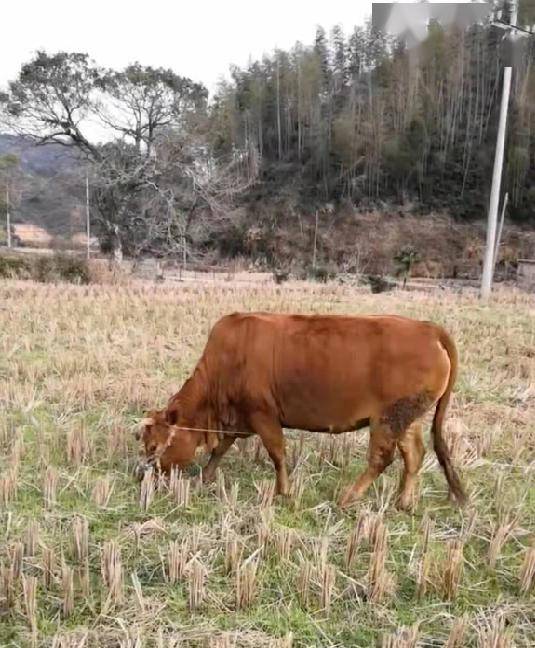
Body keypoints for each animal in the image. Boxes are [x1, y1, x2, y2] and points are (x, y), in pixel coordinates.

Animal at [136, 314, 466, 512]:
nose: (143, 474)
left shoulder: (263, 415)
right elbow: (221, 449)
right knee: (414, 455)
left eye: (153, 446)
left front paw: (284, 492)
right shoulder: (239, 419)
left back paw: (348, 497)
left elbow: (277, 454)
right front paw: (205, 477)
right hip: (407, 418)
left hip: (387, 419)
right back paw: (403, 501)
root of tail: (427, 328)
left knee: (381, 459)